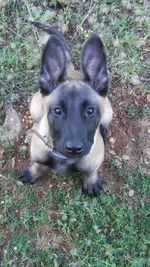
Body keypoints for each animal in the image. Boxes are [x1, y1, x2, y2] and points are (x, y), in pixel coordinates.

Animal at [20, 22, 113, 197]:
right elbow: (38, 164)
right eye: (57, 111)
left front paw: (91, 181)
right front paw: (34, 171)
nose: (74, 149)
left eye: (90, 111)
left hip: (108, 111)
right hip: (35, 107)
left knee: (105, 122)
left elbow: (90, 171)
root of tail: (71, 70)